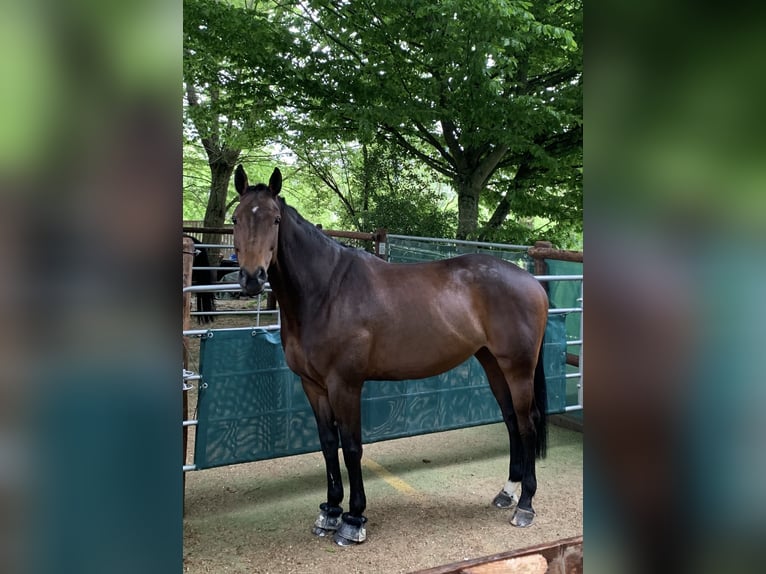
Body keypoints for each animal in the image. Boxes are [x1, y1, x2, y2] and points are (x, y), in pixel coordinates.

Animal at [231, 165, 548, 544]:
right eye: (235, 218)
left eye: (275, 220)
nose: (252, 278)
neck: (326, 292)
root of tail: (532, 282)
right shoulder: (313, 385)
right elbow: (328, 445)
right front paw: (330, 512)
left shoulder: (345, 385)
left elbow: (352, 447)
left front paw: (353, 520)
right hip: (493, 364)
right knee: (512, 421)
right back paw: (507, 492)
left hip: (518, 368)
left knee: (527, 423)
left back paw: (526, 505)